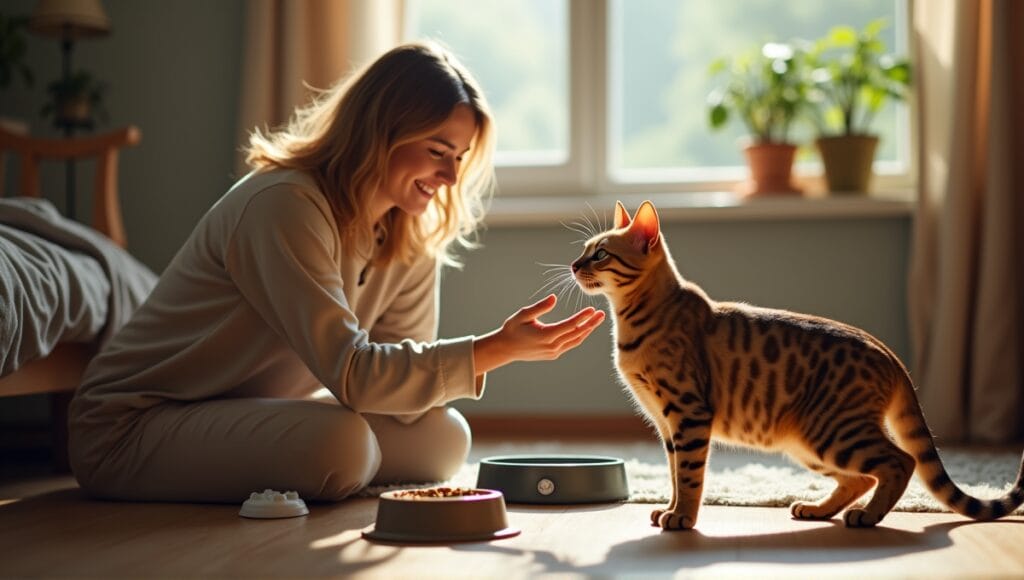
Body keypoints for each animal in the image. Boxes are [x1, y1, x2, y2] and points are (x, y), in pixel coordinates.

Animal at [569, 199, 1024, 532]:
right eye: (583, 251)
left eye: (601, 254)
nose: (574, 265)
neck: (632, 323)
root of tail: (892, 355)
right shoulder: (666, 426)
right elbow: (676, 475)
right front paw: (670, 507)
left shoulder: (688, 414)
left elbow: (692, 475)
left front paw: (683, 518)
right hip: (807, 441)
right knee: (862, 476)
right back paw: (818, 510)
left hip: (831, 431)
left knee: (899, 461)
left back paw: (868, 516)